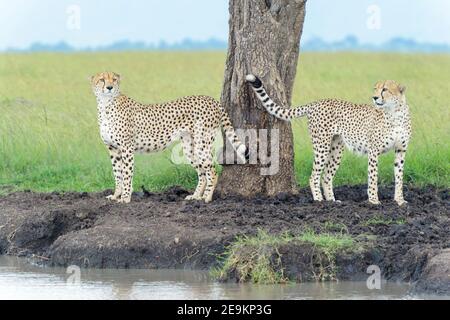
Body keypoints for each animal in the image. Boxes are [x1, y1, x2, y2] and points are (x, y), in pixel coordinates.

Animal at [90, 71, 246, 204]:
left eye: (114, 79)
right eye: (102, 79)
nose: (109, 87)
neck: (106, 104)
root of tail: (210, 99)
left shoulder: (126, 148)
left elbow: (127, 174)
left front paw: (125, 197)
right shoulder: (113, 149)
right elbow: (117, 174)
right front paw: (116, 195)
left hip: (202, 143)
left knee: (212, 171)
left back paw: (206, 197)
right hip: (190, 147)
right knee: (202, 172)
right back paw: (195, 196)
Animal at [246, 74, 412, 206]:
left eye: (385, 89)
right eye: (375, 89)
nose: (375, 97)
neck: (395, 113)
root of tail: (317, 102)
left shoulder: (401, 150)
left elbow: (399, 176)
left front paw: (400, 200)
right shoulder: (373, 151)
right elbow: (373, 177)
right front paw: (373, 201)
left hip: (336, 149)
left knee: (326, 176)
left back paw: (332, 201)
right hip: (322, 146)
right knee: (314, 176)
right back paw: (319, 200)